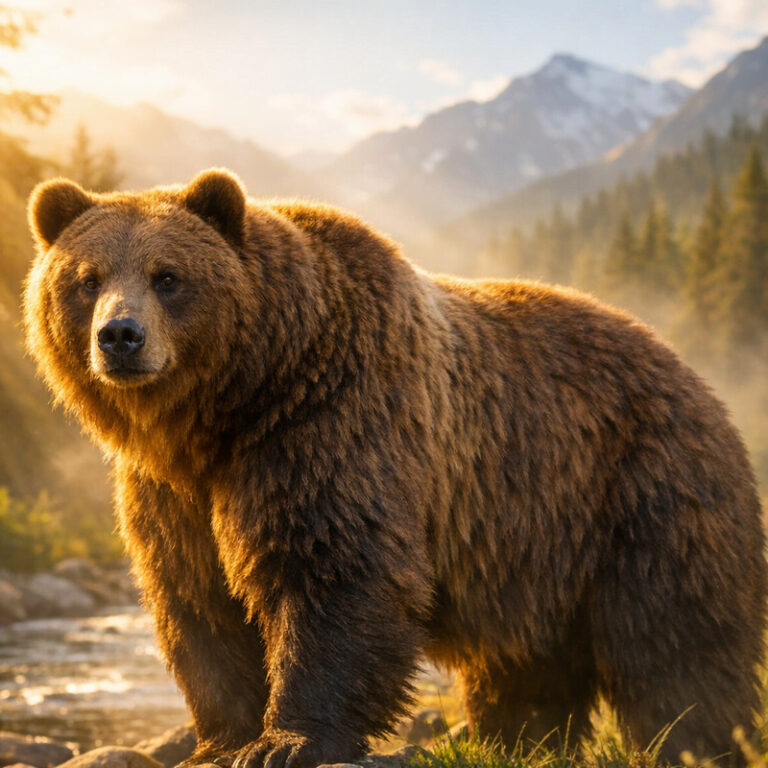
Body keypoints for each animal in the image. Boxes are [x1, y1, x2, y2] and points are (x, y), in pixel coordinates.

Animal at [23, 168, 766, 766]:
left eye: (168, 276)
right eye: (87, 279)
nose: (120, 336)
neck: (232, 408)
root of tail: (697, 379)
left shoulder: (334, 426)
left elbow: (334, 572)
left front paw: (287, 740)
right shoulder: (175, 492)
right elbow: (197, 598)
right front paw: (223, 739)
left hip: (637, 492)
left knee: (675, 643)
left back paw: (695, 741)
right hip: (536, 550)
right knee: (528, 661)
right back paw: (519, 739)